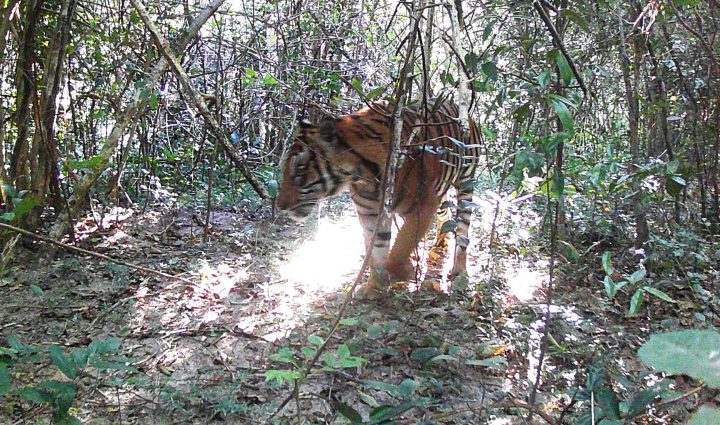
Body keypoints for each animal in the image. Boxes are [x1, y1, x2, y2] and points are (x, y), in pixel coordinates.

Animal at [278, 98, 480, 298]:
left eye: (299, 172)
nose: (280, 205)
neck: (360, 175)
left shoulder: (423, 206)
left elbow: (401, 246)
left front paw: (399, 272)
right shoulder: (370, 212)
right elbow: (376, 249)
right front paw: (375, 286)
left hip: (466, 183)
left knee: (462, 230)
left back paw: (459, 271)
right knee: (444, 214)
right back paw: (439, 243)